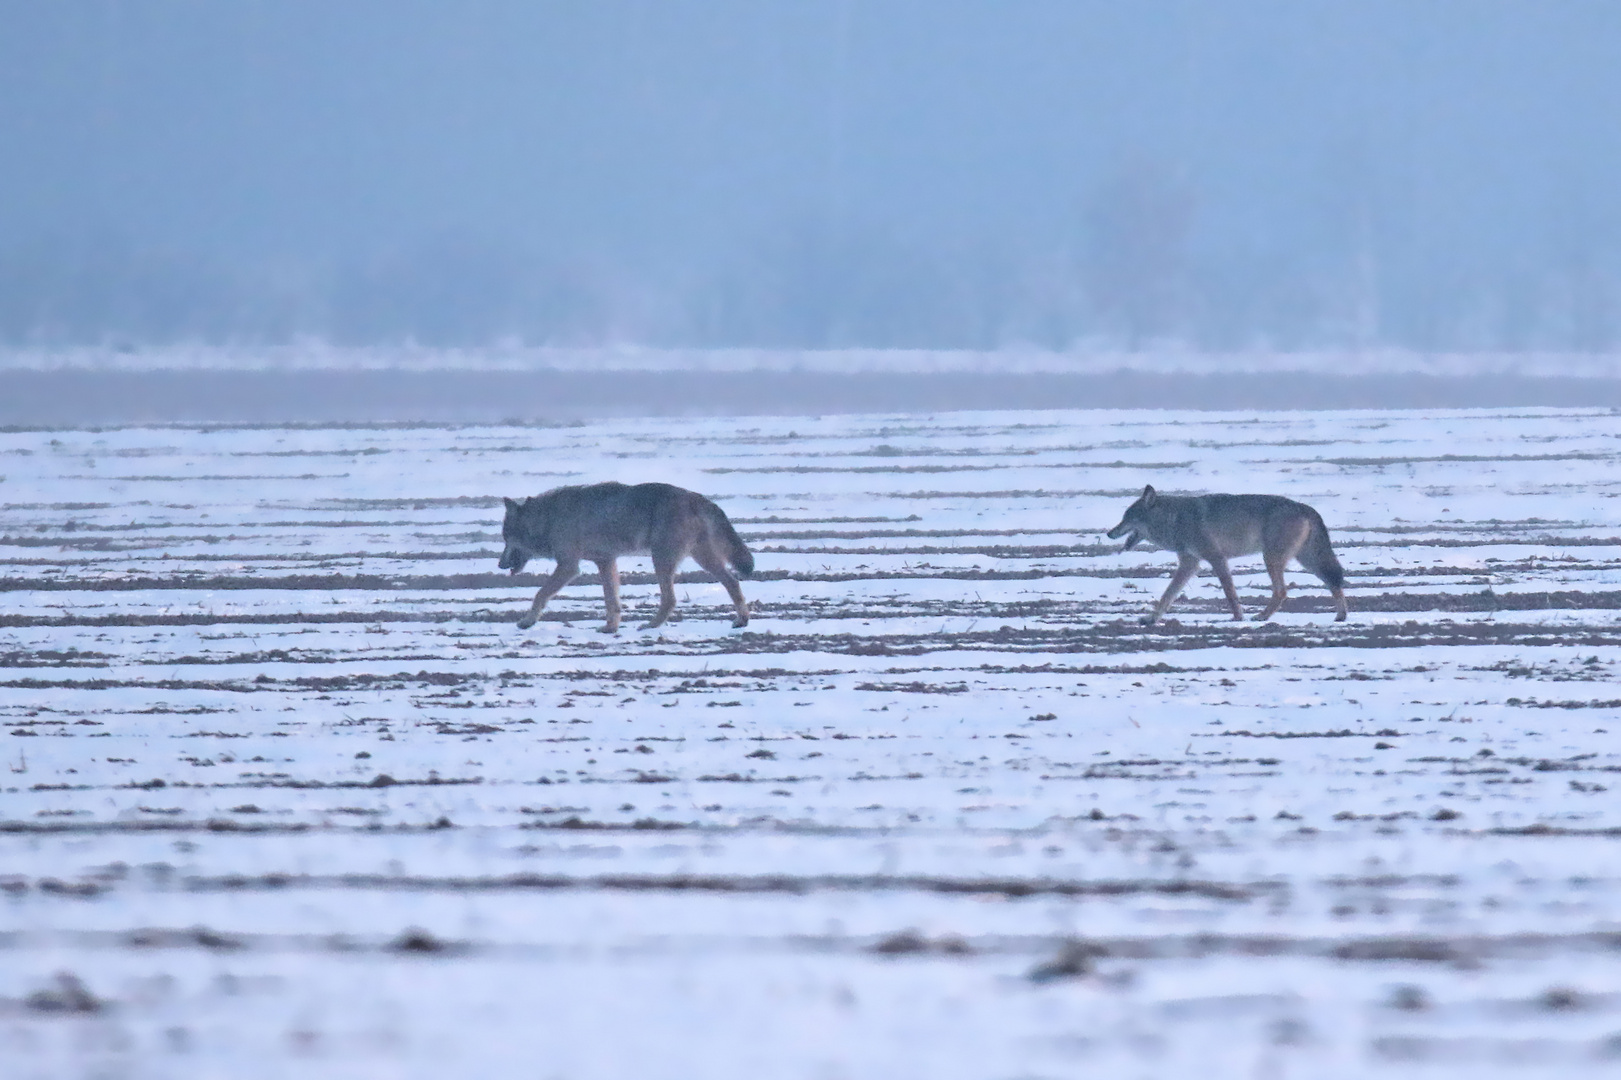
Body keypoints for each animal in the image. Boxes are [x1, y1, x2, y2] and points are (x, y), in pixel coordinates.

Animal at [496, 480, 755, 632]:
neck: (549, 519)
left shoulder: (569, 566)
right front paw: (610, 628)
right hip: (701, 559)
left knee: (670, 599)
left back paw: (651, 626)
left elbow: (540, 593)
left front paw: (527, 622)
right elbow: (612, 601)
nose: (499, 565)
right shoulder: (605, 561)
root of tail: (697, 497)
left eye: (506, 538)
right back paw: (741, 620)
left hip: (661, 560)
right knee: (733, 582)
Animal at [1108, 480, 1348, 622]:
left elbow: (1230, 593)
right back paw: (1341, 616)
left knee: (1282, 591)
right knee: (1333, 582)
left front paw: (1238, 618)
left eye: (1127, 518)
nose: (1109, 533)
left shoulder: (1216, 558)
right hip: (1306, 560)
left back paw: (1262, 617)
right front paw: (1152, 619)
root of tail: (1304, 507)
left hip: (1273, 559)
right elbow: (1167, 595)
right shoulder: (1189, 563)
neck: (1175, 519)